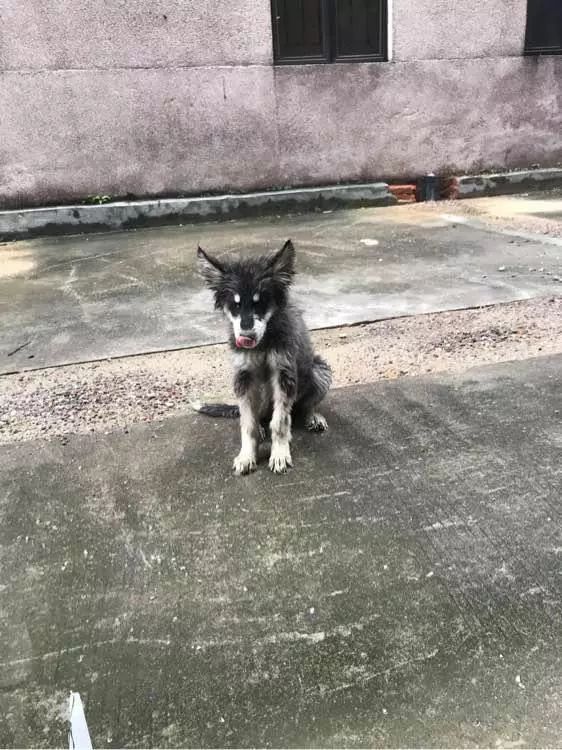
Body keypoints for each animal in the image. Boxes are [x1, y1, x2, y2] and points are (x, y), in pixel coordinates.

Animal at [195, 241, 330, 476]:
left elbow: (281, 421)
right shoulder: (243, 376)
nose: (246, 337)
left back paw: (313, 417)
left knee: (302, 407)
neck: (265, 340)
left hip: (319, 370)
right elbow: (247, 423)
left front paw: (280, 454)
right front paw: (246, 456)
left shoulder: (284, 373)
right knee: (254, 416)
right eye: (235, 304)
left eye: (261, 302)